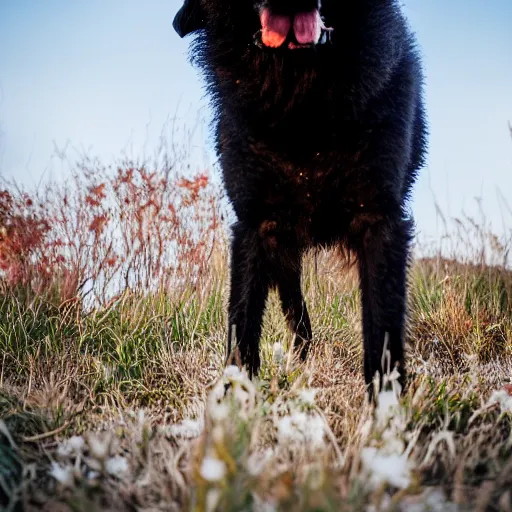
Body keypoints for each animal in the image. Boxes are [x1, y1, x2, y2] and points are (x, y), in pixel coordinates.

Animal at [174, 0, 426, 396]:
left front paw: (386, 410)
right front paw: (231, 408)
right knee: (297, 312)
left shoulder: (378, 221)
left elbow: (382, 332)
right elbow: (242, 329)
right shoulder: (256, 226)